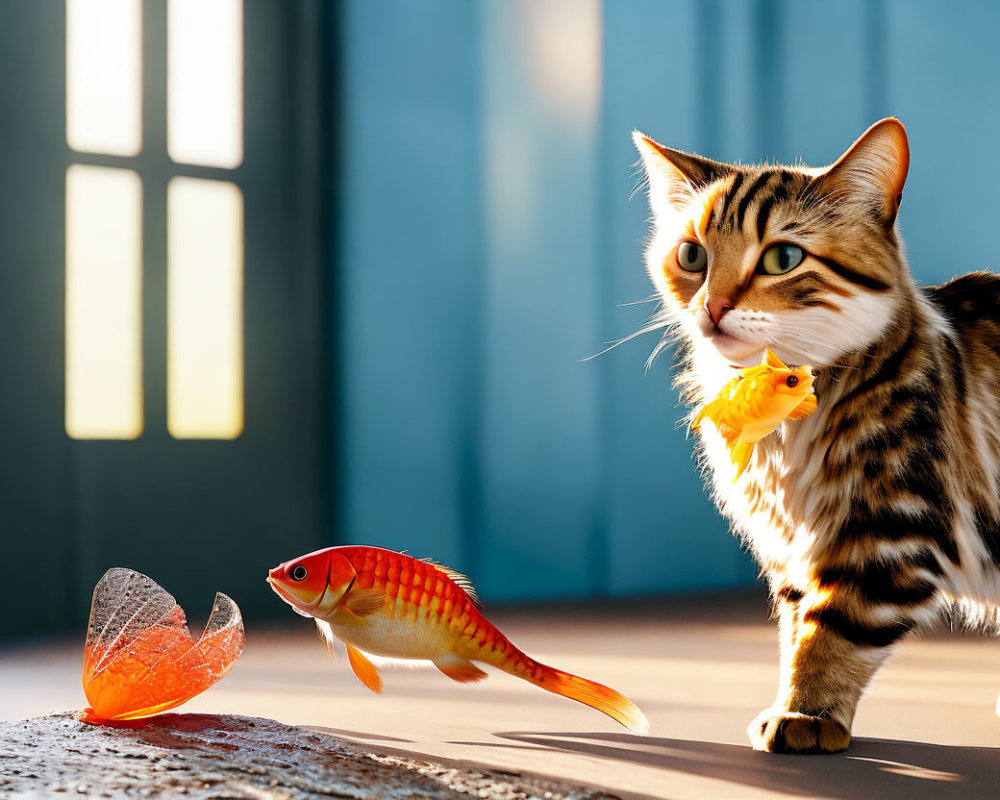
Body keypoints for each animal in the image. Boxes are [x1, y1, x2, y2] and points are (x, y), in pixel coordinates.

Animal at [632, 115, 1000, 752]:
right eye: (691, 254)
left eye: (782, 257)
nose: (712, 306)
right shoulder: (790, 547)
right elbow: (796, 628)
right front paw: (797, 703)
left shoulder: (889, 529)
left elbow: (832, 634)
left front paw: (805, 714)